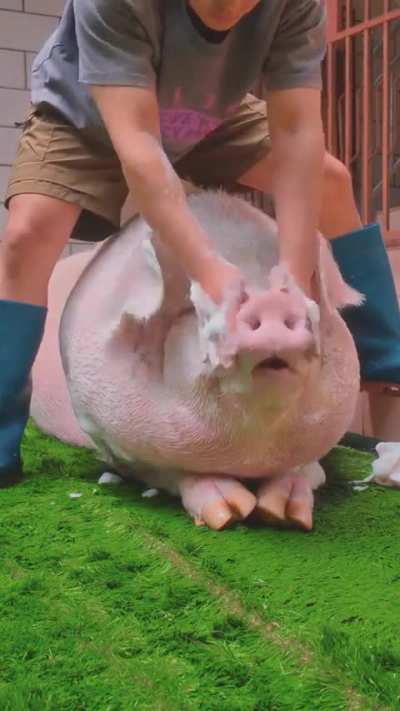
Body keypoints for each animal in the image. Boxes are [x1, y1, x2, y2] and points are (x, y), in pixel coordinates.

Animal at [31, 190, 363, 531]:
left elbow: (307, 469)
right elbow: (167, 473)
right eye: (193, 310)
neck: (251, 455)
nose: (270, 300)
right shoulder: (106, 437)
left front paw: (285, 514)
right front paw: (230, 512)